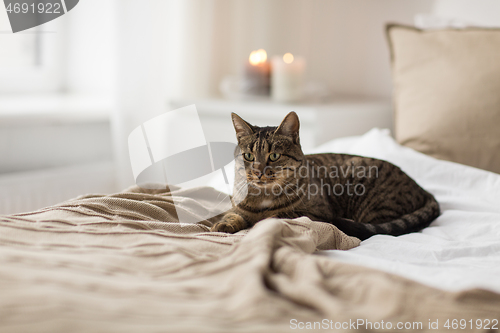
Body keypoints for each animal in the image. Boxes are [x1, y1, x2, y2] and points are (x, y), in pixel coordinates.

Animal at [209, 111, 440, 239]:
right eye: (248, 156)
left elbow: (275, 216)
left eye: (273, 156)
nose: (257, 172)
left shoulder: (317, 213)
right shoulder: (237, 207)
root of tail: (422, 189)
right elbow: (232, 214)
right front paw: (223, 224)